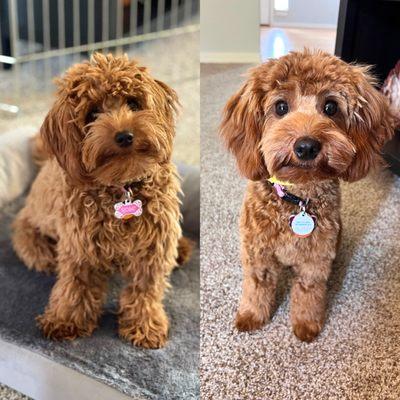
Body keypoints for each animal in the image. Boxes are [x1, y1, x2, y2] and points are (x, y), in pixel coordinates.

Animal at [12, 54, 192, 350]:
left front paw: (145, 326)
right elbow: (75, 286)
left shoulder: (153, 246)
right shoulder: (79, 248)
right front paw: (65, 320)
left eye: (133, 103)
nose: (125, 136)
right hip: (33, 232)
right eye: (93, 113)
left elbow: (145, 289)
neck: (123, 186)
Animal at [220, 50, 396, 342]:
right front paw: (251, 316)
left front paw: (306, 324)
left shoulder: (316, 259)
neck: (296, 198)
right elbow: (257, 286)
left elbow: (308, 291)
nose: (306, 146)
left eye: (331, 107)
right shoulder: (258, 254)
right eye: (280, 107)